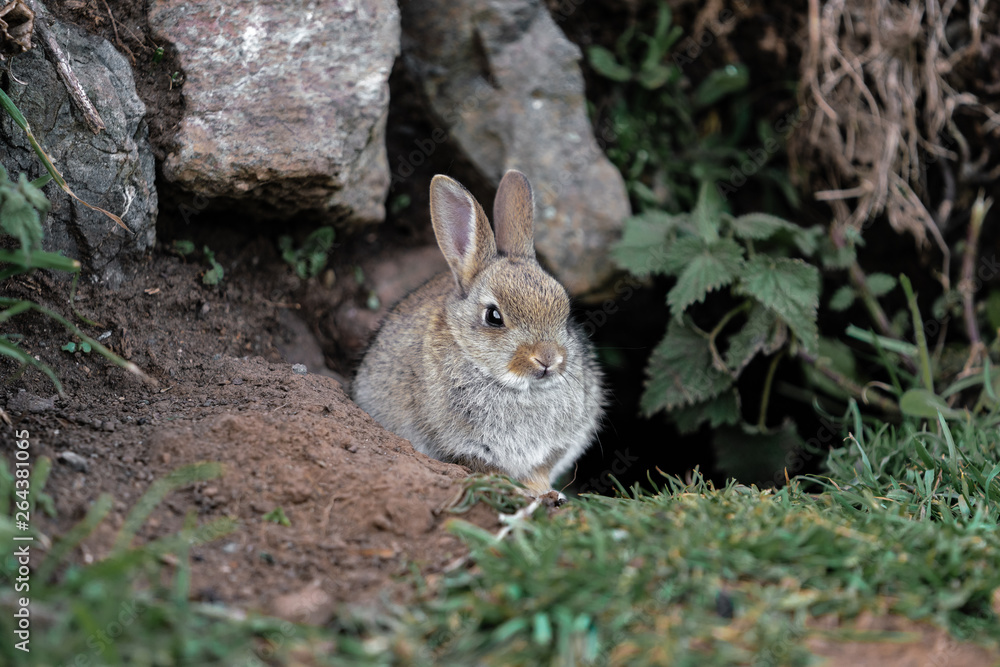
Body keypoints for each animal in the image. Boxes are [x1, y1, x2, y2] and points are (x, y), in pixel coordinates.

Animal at [352, 169, 604, 496]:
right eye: (493, 317)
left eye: (565, 309)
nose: (548, 359)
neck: (519, 388)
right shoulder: (465, 445)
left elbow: (539, 472)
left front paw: (545, 493)